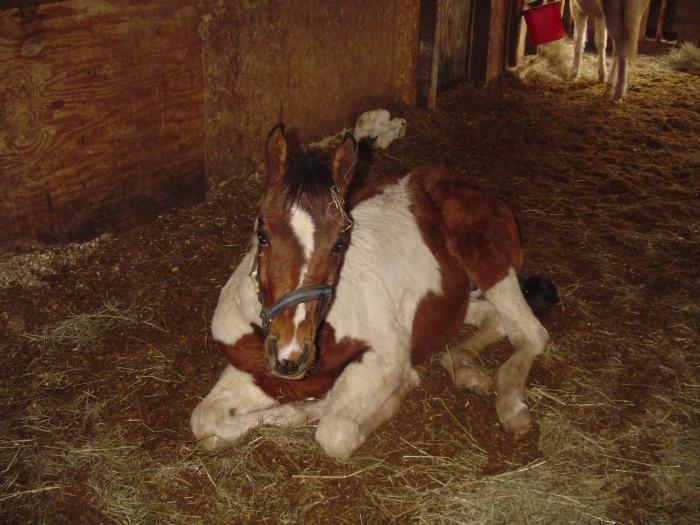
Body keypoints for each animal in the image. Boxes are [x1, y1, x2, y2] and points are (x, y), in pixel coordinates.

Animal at [190, 125, 556, 456]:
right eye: (262, 234)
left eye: (340, 242)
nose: (291, 355)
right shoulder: (259, 373)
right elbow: (205, 421)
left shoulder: (387, 355)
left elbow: (335, 430)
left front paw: (401, 388)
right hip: (456, 300)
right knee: (492, 320)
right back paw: (466, 368)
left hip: (489, 259)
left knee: (530, 333)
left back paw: (512, 408)